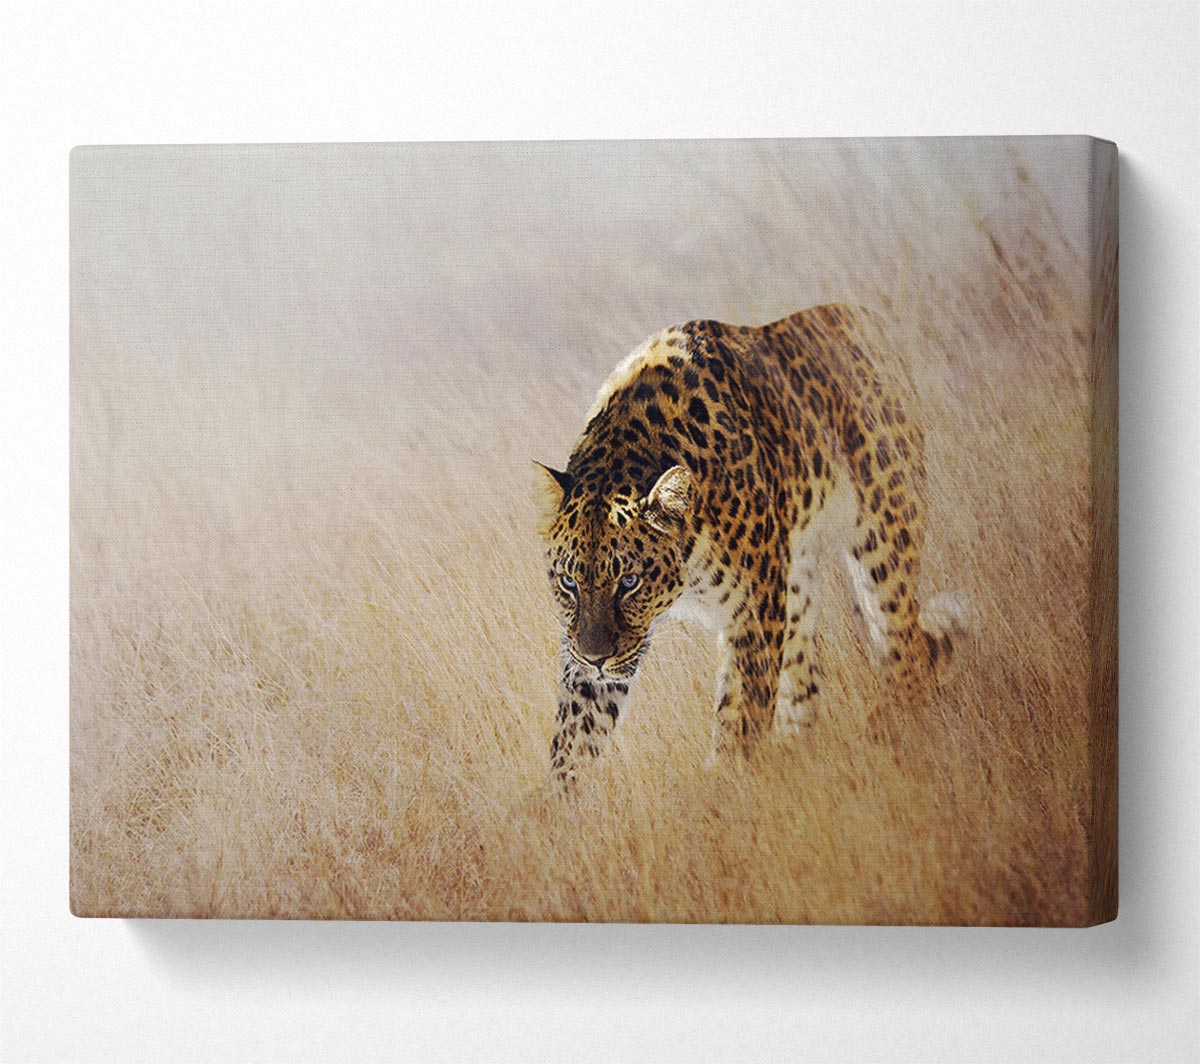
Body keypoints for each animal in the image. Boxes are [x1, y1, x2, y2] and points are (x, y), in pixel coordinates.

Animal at [532, 304, 968, 787]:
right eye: (569, 583)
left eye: (629, 582)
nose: (597, 658)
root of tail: (862, 318)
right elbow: (576, 733)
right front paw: (559, 802)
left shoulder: (754, 613)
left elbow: (742, 712)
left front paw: (730, 786)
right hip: (796, 582)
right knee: (806, 678)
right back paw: (796, 754)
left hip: (882, 538)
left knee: (905, 648)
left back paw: (899, 737)